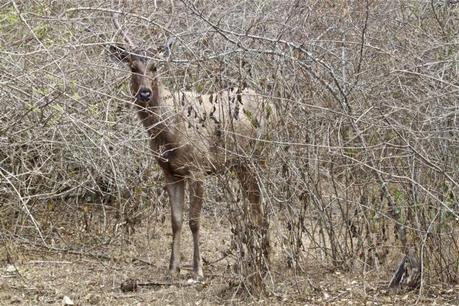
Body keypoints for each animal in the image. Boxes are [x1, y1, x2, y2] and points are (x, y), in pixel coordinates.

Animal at [109, 32, 274, 280]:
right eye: (132, 66)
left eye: (155, 66)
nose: (145, 93)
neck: (168, 132)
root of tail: (273, 107)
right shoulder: (170, 171)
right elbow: (176, 220)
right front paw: (173, 267)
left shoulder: (198, 166)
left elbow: (194, 220)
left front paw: (197, 270)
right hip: (241, 164)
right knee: (255, 205)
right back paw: (255, 259)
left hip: (258, 157)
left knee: (261, 205)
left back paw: (264, 260)